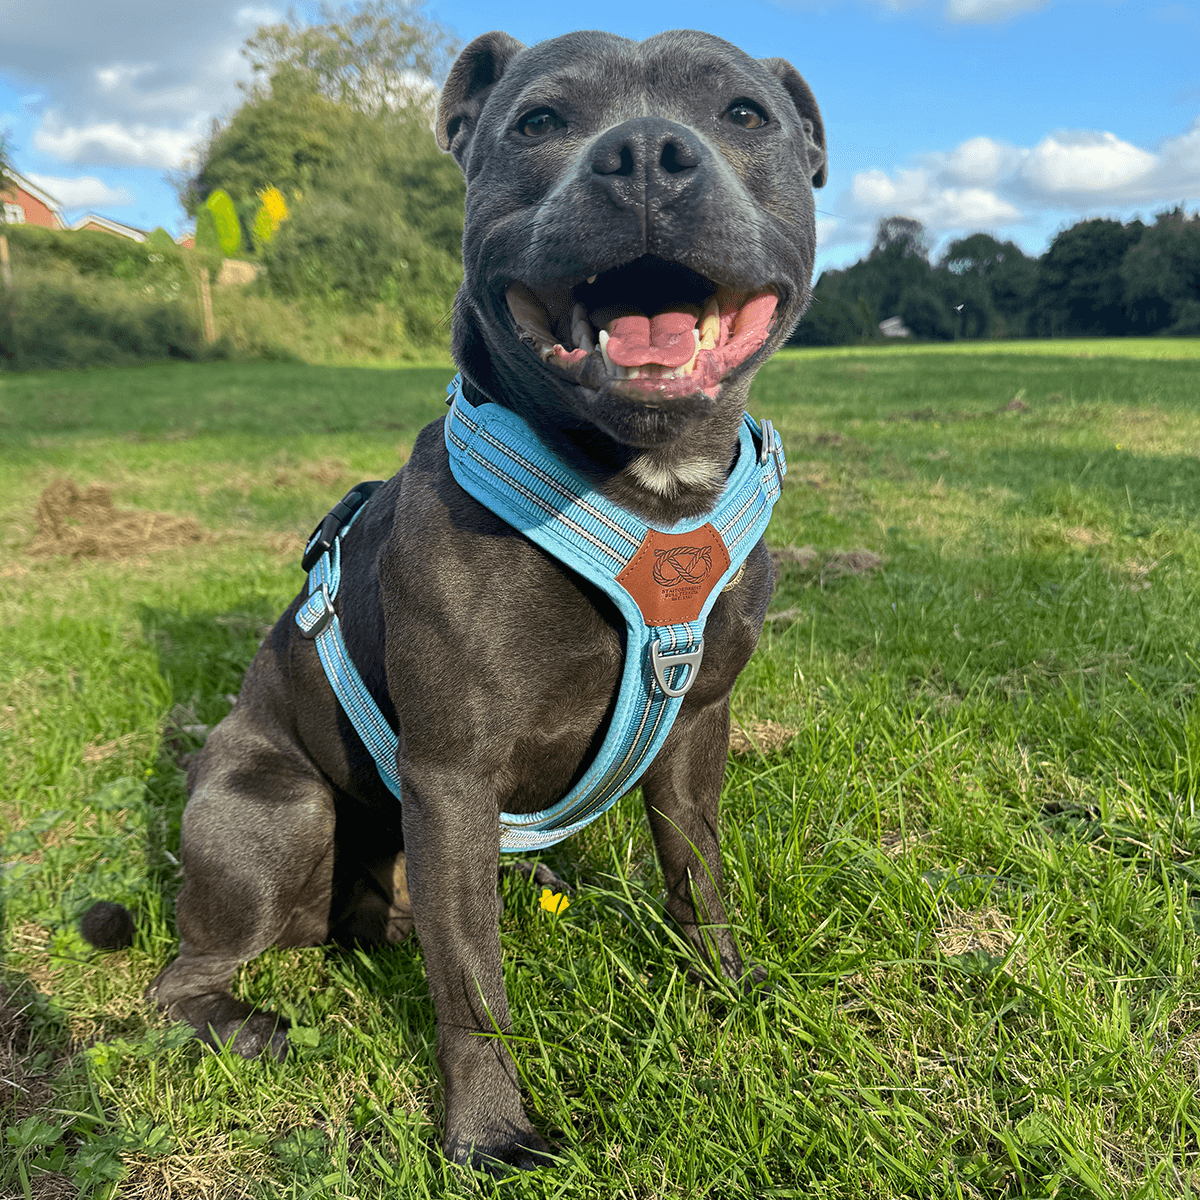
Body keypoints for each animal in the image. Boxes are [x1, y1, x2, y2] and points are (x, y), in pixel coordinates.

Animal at [124, 28, 825, 1171]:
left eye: (742, 114)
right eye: (539, 122)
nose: (643, 154)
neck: (645, 486)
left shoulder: (696, 728)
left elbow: (698, 879)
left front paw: (727, 987)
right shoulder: (452, 773)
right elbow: (476, 994)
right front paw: (491, 1130)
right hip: (279, 811)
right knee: (183, 974)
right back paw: (242, 1023)